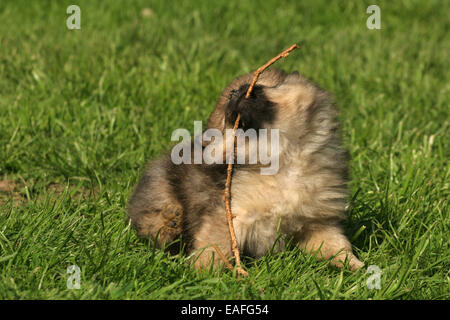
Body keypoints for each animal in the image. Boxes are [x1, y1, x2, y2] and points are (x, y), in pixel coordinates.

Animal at [127, 68, 366, 270]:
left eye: (258, 86)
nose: (235, 92)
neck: (284, 159)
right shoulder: (230, 214)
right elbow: (215, 247)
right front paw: (201, 273)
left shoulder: (318, 224)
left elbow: (337, 246)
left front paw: (356, 267)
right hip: (162, 192)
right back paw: (171, 219)